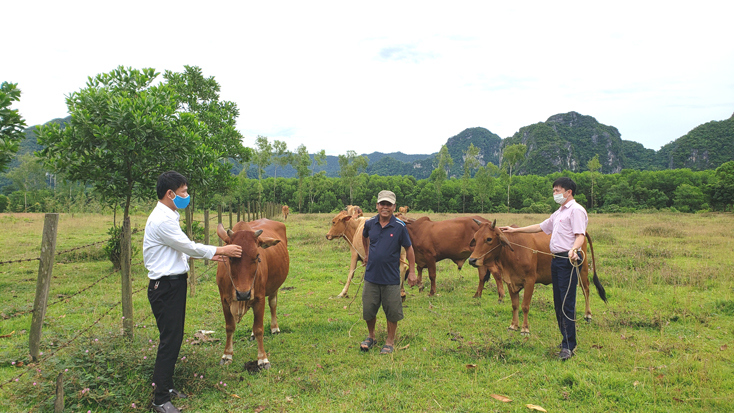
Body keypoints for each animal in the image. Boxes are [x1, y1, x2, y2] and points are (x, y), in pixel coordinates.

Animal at [216, 219, 290, 366]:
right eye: (230, 257)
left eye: (257, 256)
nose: (243, 294)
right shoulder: (224, 300)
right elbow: (229, 327)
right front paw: (227, 355)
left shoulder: (259, 298)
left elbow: (259, 329)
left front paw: (262, 359)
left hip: (274, 287)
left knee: (273, 304)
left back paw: (274, 328)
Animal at [468, 219, 608, 334]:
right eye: (475, 237)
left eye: (489, 239)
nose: (472, 260)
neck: (513, 252)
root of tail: (582, 231)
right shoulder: (510, 282)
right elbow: (515, 305)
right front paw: (513, 325)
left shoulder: (530, 281)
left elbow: (525, 306)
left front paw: (524, 329)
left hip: (582, 268)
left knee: (586, 289)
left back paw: (588, 315)